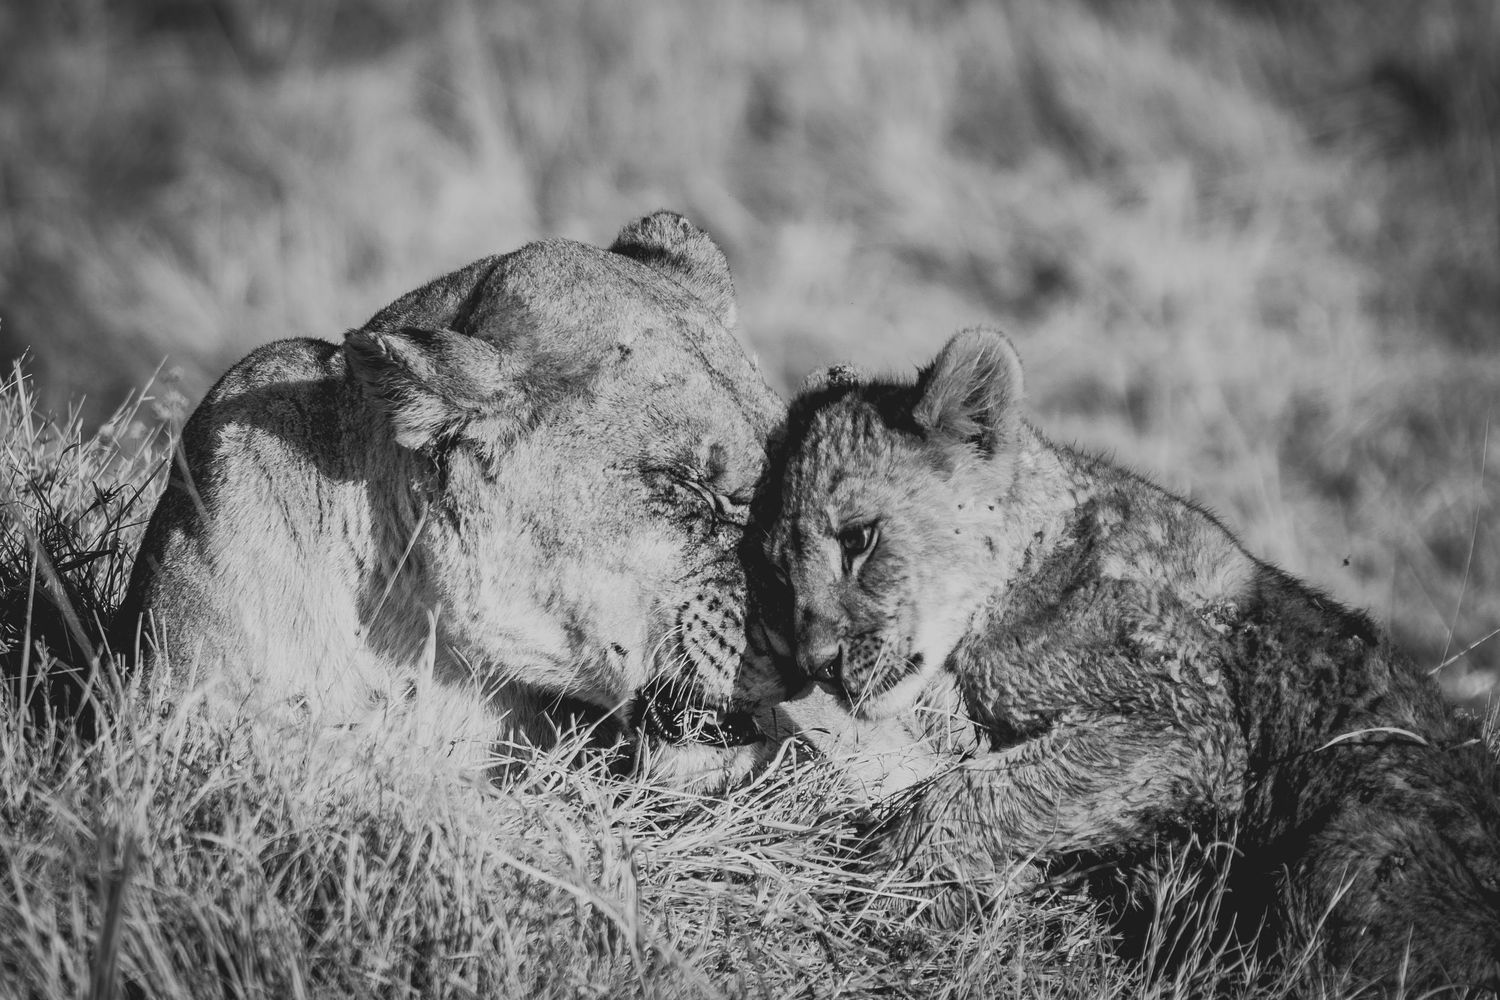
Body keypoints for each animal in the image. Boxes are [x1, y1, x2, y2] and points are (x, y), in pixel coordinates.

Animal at [759, 328, 1500, 992]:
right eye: (779, 572)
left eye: (858, 539)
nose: (816, 663)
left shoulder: (1190, 726)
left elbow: (967, 792)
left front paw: (881, 884)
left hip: (1357, 836)